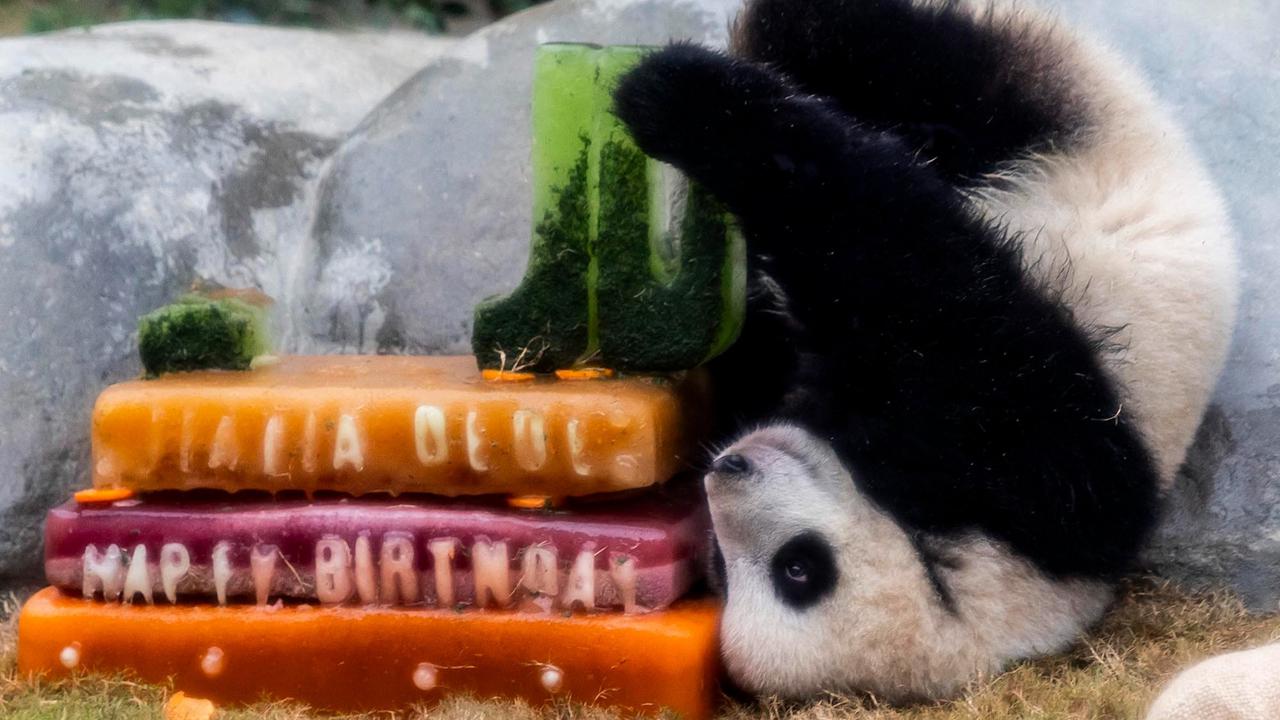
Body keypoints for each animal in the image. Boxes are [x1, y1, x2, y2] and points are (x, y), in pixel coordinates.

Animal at [613, 0, 1239, 704]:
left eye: (798, 569)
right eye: (719, 565)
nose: (727, 468)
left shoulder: (1031, 465)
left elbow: (905, 272)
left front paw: (684, 101)